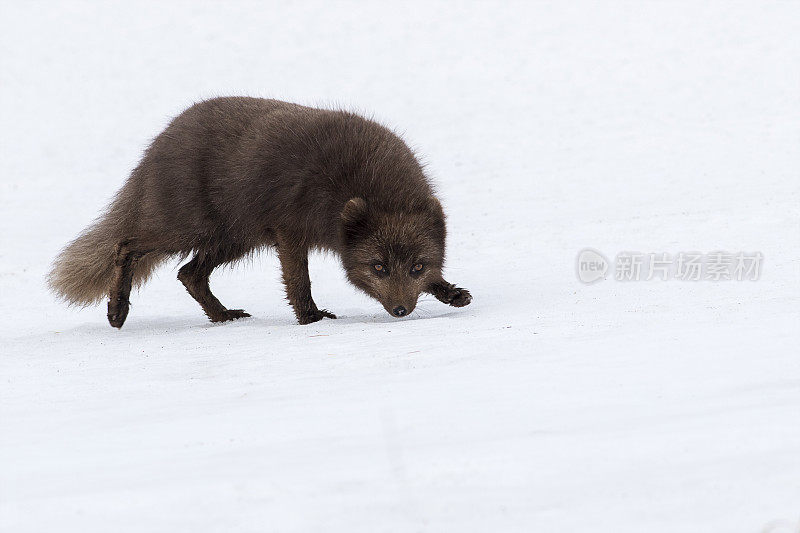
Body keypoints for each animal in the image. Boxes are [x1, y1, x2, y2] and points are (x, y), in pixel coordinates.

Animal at [48, 97, 468, 326]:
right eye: (378, 267)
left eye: (417, 266)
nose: (400, 310)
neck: (362, 183)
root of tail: (157, 145)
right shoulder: (289, 231)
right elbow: (299, 282)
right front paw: (311, 318)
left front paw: (449, 292)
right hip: (188, 229)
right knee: (126, 244)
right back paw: (117, 311)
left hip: (233, 239)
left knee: (189, 274)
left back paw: (222, 318)